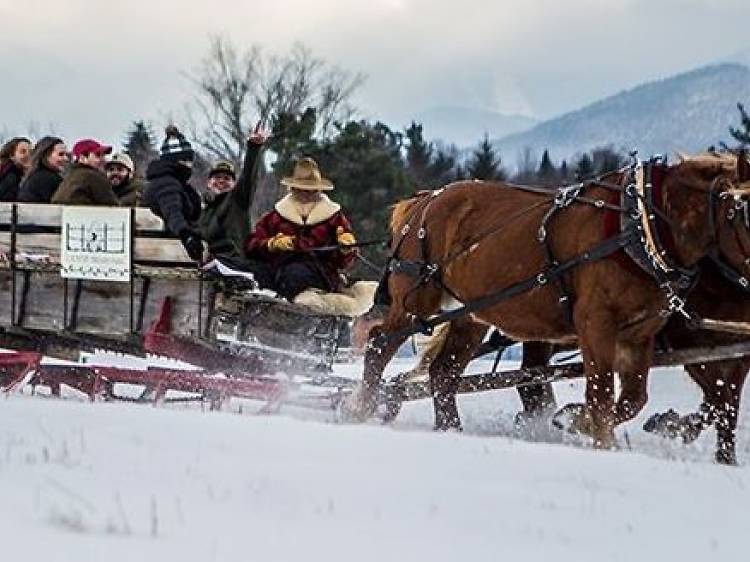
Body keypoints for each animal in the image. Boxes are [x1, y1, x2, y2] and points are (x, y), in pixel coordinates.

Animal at [346, 151, 750, 448]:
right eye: (741, 213)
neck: (642, 227)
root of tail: (424, 200)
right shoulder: (597, 324)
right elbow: (602, 395)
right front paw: (597, 438)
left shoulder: (640, 334)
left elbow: (635, 399)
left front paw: (576, 420)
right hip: (416, 300)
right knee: (380, 345)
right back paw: (361, 411)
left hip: (470, 314)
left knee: (444, 372)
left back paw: (451, 430)